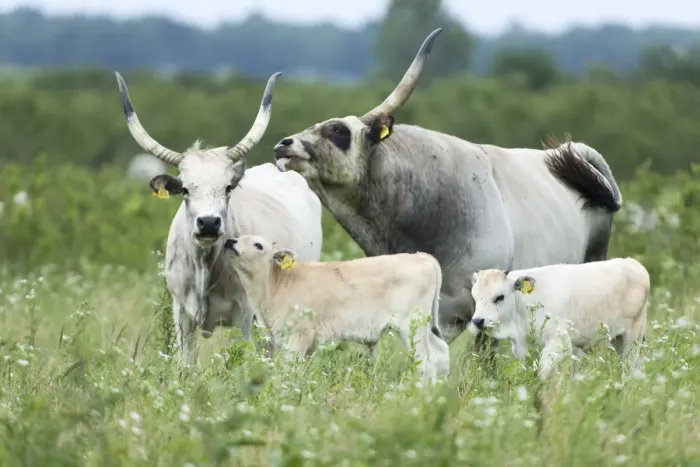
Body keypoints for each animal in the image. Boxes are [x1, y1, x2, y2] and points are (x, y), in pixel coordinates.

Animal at [114, 71, 324, 365]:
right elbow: (186, 366)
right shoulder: (182, 317)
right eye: (185, 189)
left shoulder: (244, 317)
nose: (209, 223)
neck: (205, 267)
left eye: (228, 188)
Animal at [222, 234, 451, 382]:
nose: (230, 241)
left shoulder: (298, 335)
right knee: (440, 353)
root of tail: (419, 256)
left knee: (426, 362)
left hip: (412, 326)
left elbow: (290, 368)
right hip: (425, 326)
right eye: (239, 237)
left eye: (258, 245)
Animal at [468, 258, 650, 379]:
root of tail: (632, 263)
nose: (478, 321)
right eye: (475, 296)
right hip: (618, 340)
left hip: (633, 339)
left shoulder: (558, 342)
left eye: (499, 297)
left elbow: (542, 373)